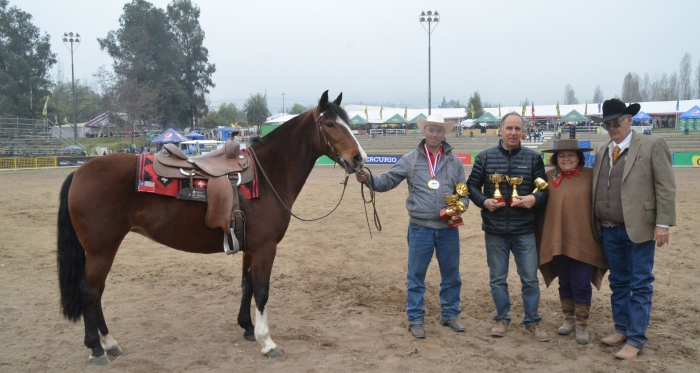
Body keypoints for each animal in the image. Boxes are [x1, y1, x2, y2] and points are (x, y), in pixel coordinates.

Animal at [57, 90, 366, 364]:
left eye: (348, 123)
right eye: (329, 124)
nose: (359, 158)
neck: (268, 175)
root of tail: (79, 172)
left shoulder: (250, 248)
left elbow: (247, 285)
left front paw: (247, 328)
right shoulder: (265, 248)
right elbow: (262, 291)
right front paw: (267, 342)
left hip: (103, 250)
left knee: (97, 292)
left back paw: (109, 343)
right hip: (101, 249)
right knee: (89, 292)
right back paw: (97, 348)